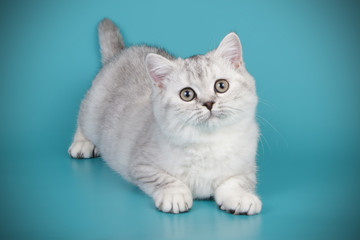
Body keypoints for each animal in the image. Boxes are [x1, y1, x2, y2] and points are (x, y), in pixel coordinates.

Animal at [67, 17, 262, 215]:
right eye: (187, 94)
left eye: (221, 86)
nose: (208, 103)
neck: (208, 142)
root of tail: (121, 53)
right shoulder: (142, 166)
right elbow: (166, 179)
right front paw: (175, 195)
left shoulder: (246, 169)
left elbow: (235, 182)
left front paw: (240, 198)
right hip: (91, 110)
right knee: (82, 119)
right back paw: (82, 144)